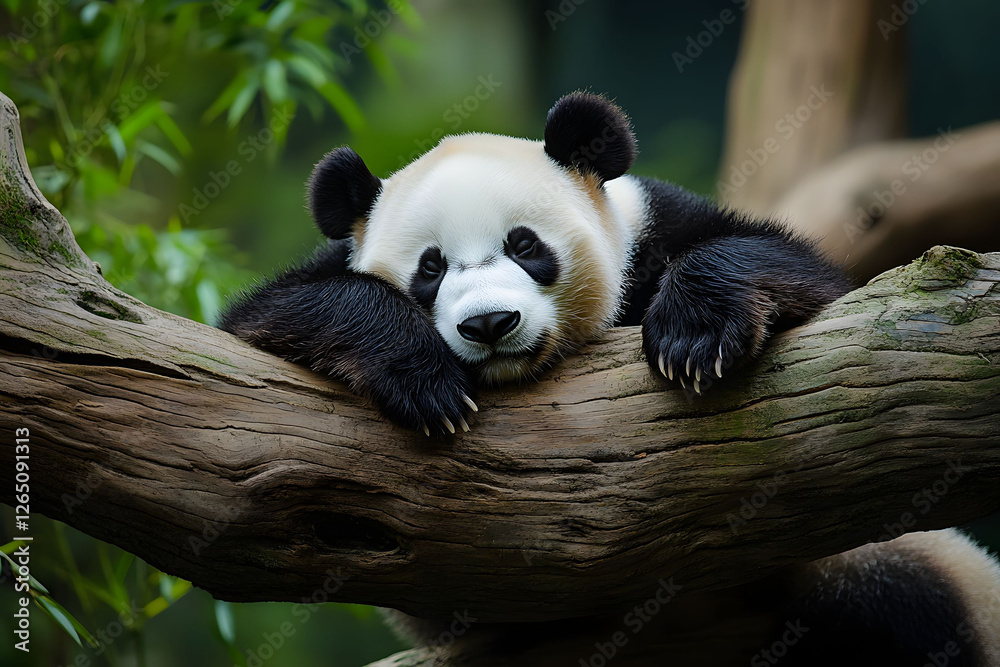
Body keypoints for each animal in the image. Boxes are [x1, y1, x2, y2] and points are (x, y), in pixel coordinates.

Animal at [219, 92, 1000, 664]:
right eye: (431, 268)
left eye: (525, 245)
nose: (490, 324)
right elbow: (266, 321)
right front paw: (423, 381)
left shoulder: (656, 226)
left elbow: (810, 282)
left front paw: (694, 334)